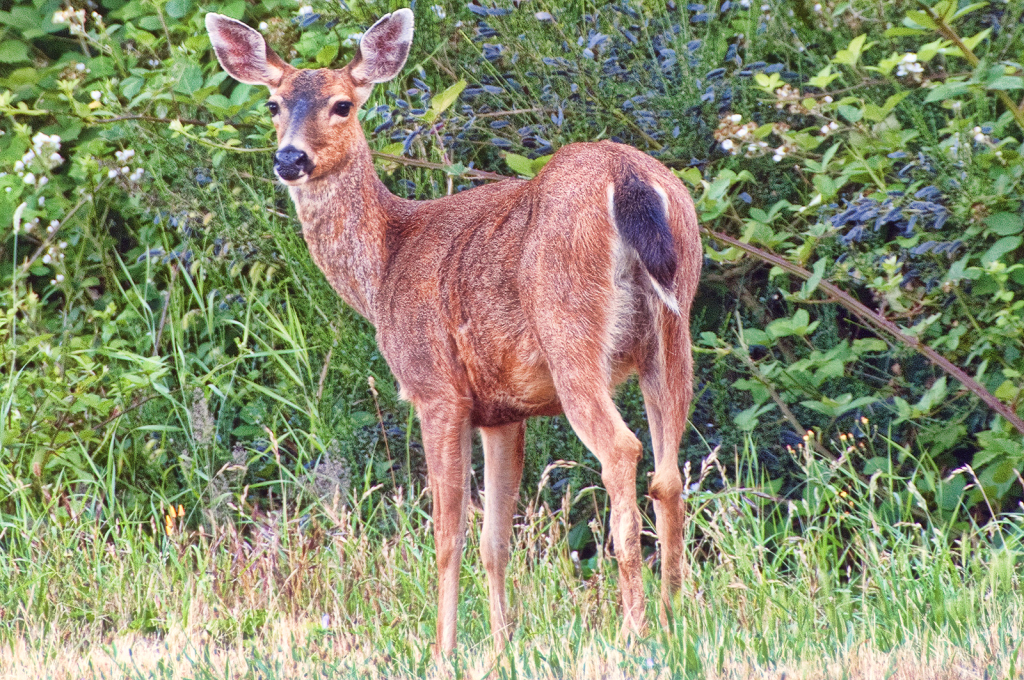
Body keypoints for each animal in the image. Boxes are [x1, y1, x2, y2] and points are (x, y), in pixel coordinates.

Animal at [207, 9, 704, 659]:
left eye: (342, 105)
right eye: (273, 103)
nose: (289, 160)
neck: (385, 266)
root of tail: (627, 176)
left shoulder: (435, 389)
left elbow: (448, 535)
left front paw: (442, 648)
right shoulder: (502, 410)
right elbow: (496, 540)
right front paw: (501, 645)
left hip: (570, 326)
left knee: (623, 451)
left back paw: (632, 632)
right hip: (673, 327)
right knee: (669, 477)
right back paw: (674, 622)